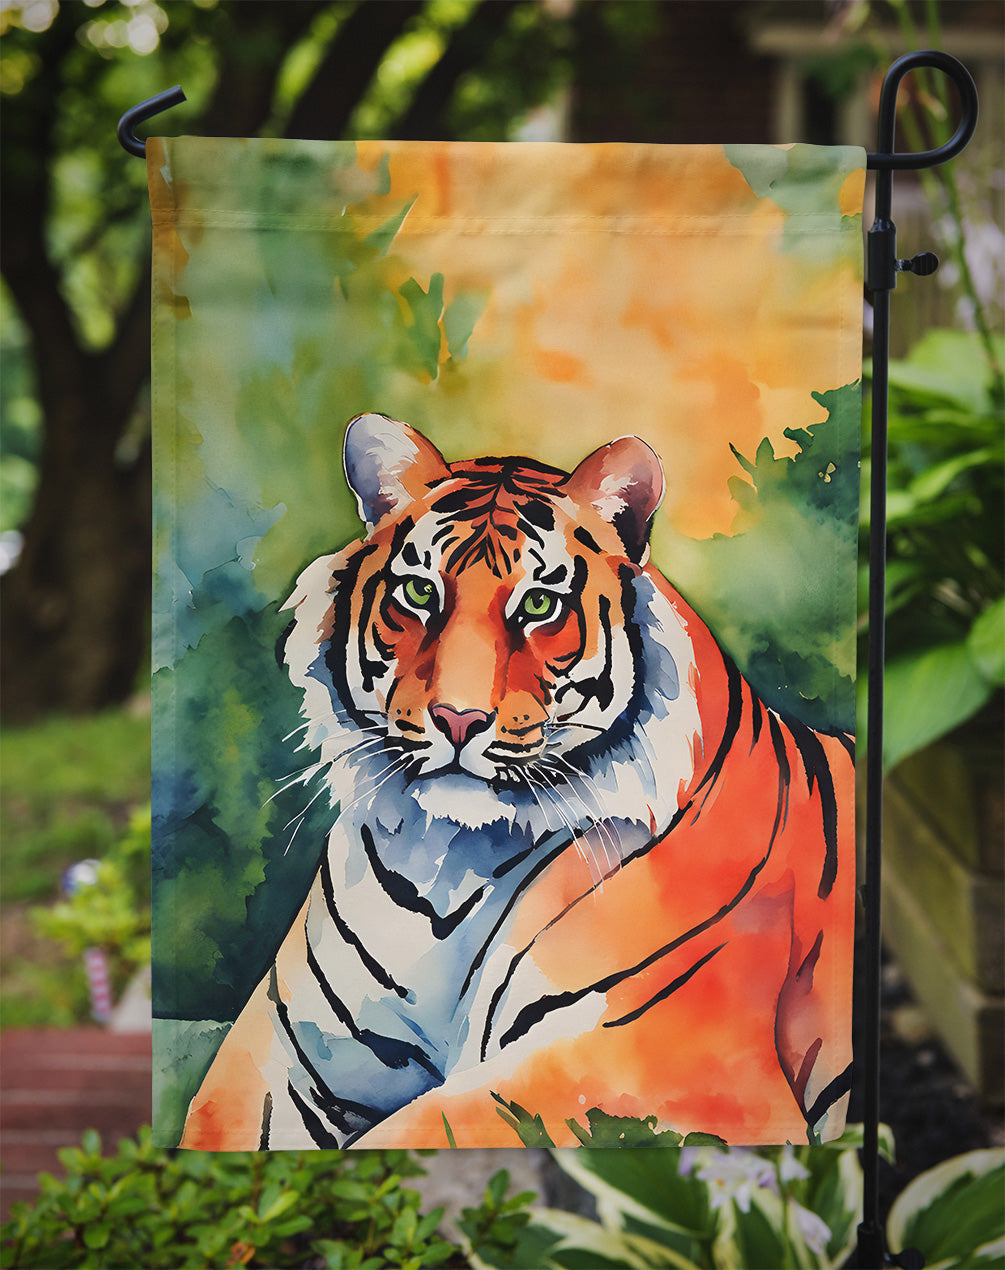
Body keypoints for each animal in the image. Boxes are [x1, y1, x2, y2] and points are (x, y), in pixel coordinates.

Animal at [180, 412, 855, 1151]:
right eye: (420, 592)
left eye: (537, 604)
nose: (457, 718)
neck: (445, 868)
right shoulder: (281, 1046)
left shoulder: (654, 1060)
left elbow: (424, 1129)